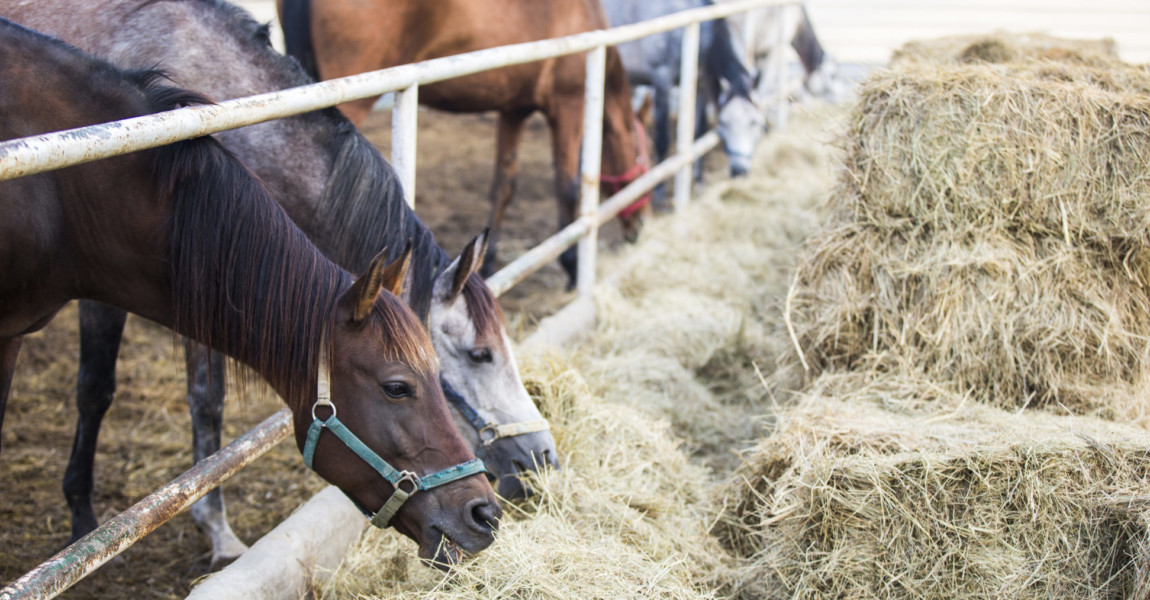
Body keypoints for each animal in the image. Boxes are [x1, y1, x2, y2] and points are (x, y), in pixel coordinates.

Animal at [278, 0, 653, 283]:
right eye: (645, 158)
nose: (640, 226)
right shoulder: (569, 105)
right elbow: (569, 186)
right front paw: (574, 267)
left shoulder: (513, 111)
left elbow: (504, 185)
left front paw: (488, 263)